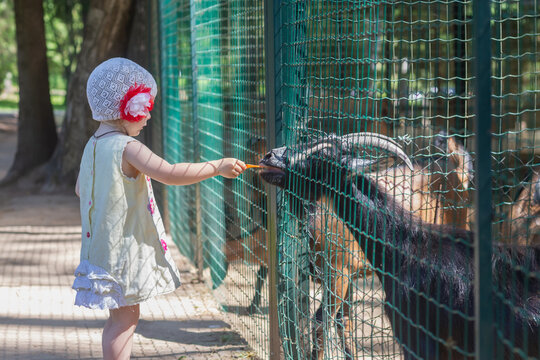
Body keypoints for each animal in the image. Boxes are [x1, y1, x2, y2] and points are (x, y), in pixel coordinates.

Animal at [258, 133, 540, 360]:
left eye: (323, 155)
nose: (269, 156)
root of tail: (457, 175)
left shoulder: (340, 272)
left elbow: (320, 321)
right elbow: (343, 322)